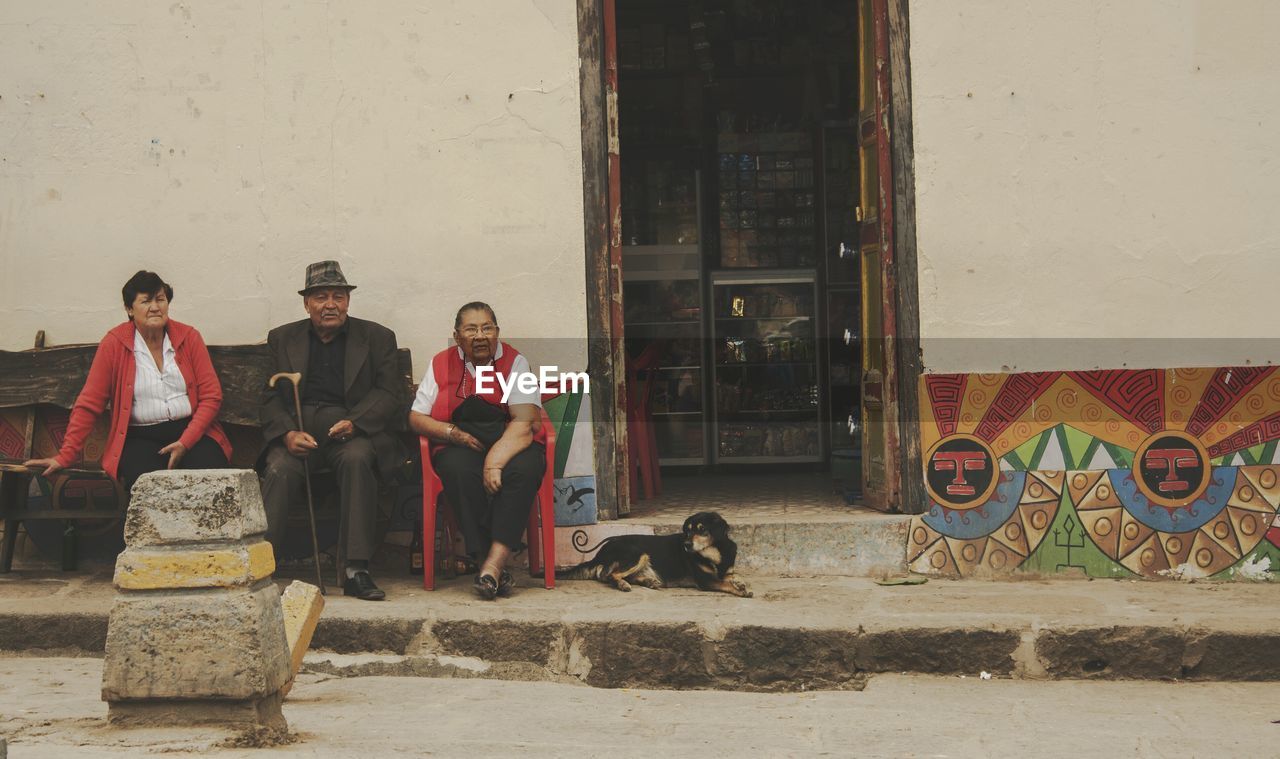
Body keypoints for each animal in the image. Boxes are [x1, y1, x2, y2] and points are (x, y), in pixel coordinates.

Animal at [558, 511, 747, 593]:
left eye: (702, 530)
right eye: (688, 530)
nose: (686, 545)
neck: (716, 553)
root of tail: (599, 553)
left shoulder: (727, 572)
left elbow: (733, 577)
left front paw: (741, 583)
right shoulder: (706, 581)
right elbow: (726, 584)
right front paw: (742, 590)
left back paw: (650, 582)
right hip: (637, 553)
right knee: (609, 575)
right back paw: (623, 585)